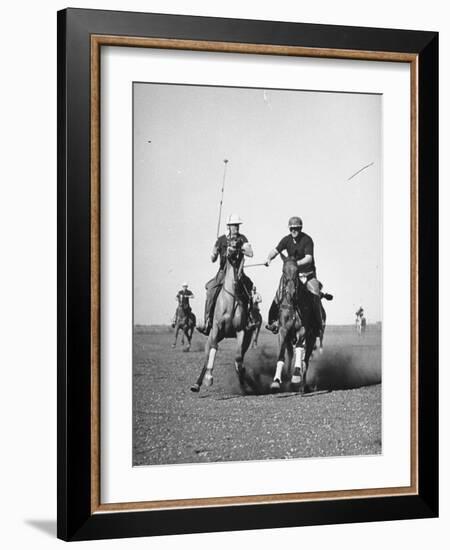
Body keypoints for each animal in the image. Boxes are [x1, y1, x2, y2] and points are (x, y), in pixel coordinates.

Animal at [191, 244, 256, 394]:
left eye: (238, 243)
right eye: (228, 245)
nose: (231, 251)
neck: (230, 298)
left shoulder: (241, 331)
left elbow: (238, 358)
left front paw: (243, 380)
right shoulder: (216, 328)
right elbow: (214, 348)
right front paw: (209, 378)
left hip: (247, 339)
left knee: (240, 356)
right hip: (211, 336)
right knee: (207, 357)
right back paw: (197, 384)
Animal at [268, 260, 322, 396]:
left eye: (297, 271)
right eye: (283, 270)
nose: (291, 292)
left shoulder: (302, 329)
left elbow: (299, 349)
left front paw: (296, 376)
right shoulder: (283, 330)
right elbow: (282, 355)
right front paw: (276, 381)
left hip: (311, 339)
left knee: (305, 361)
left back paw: (302, 387)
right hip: (289, 339)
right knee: (290, 355)